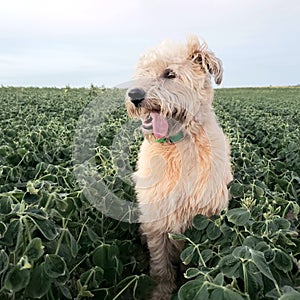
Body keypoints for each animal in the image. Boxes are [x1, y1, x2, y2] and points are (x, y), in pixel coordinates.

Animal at [124, 36, 232, 298]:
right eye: (142, 72)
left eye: (170, 74)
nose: (134, 95)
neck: (176, 144)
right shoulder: (156, 218)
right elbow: (160, 264)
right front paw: (160, 292)